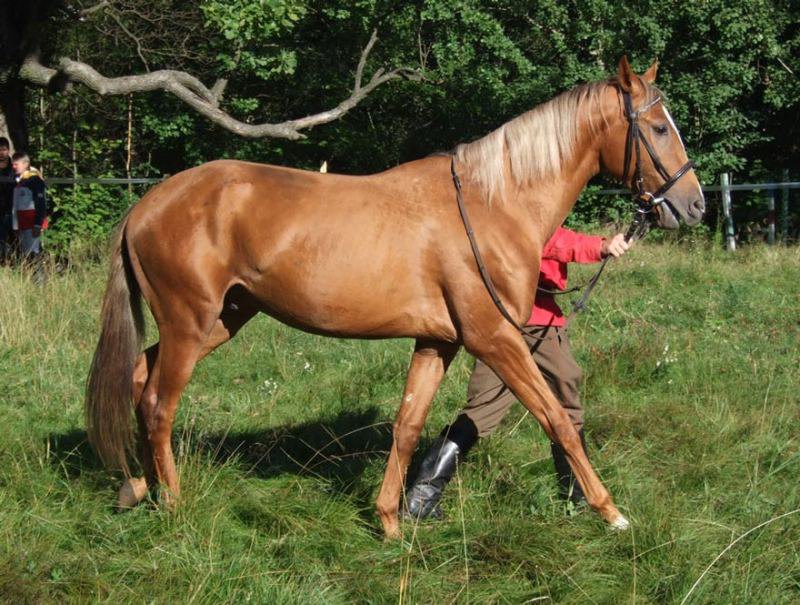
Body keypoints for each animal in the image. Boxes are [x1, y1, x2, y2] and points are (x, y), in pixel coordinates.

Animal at [84, 59, 704, 536]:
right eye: (658, 128)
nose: (694, 204)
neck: (492, 203)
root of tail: (145, 206)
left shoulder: (438, 342)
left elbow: (408, 426)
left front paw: (389, 521)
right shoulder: (495, 340)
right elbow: (556, 419)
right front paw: (611, 512)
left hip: (221, 319)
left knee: (138, 380)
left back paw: (140, 487)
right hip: (191, 324)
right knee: (159, 404)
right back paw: (173, 502)